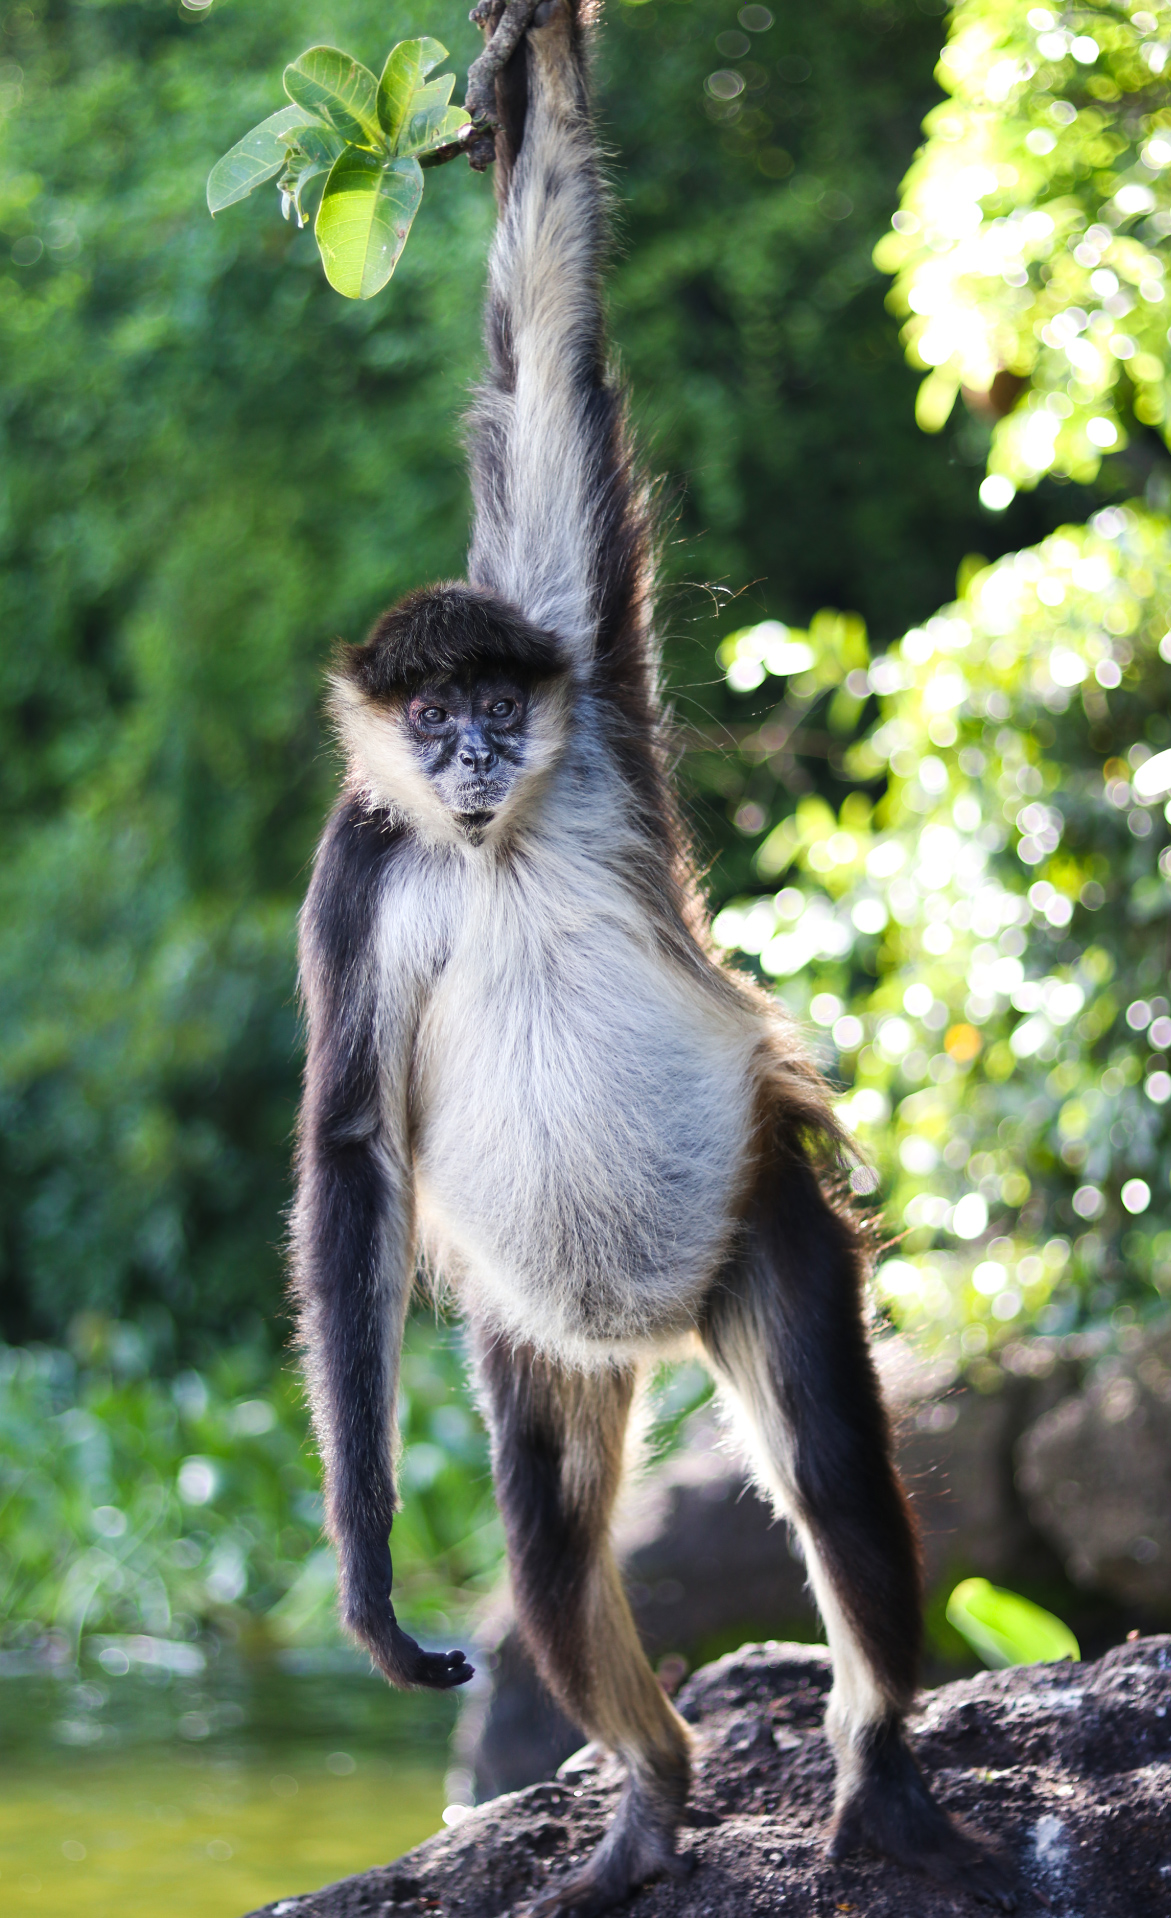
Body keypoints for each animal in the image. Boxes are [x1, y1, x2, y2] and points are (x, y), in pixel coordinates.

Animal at [291, 7, 1019, 1910]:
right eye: (432, 718)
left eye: (496, 698)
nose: (477, 747)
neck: (480, 846)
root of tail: (649, 1316)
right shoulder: (358, 871)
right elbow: (353, 1150)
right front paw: (366, 1564)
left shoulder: (583, 690)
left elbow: (546, 315)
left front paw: (528, 58)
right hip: (547, 1338)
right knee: (548, 1536)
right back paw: (649, 1794)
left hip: (749, 1212)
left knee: (830, 1462)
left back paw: (872, 1766)